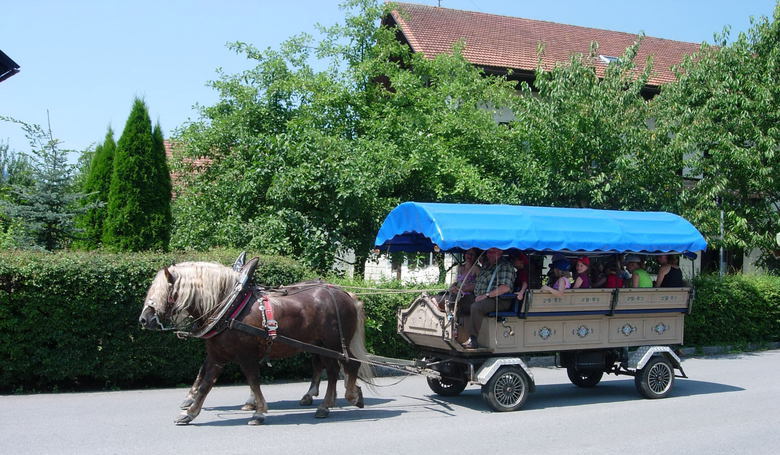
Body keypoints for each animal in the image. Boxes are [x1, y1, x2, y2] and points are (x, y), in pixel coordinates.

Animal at [139, 262, 374, 426]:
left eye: (164, 293)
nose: (144, 319)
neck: (229, 306)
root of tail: (345, 293)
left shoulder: (246, 356)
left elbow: (253, 380)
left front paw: (258, 412)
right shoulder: (217, 356)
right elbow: (205, 383)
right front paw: (189, 413)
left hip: (333, 344)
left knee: (348, 366)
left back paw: (341, 398)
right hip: (322, 346)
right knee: (333, 370)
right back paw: (333, 401)